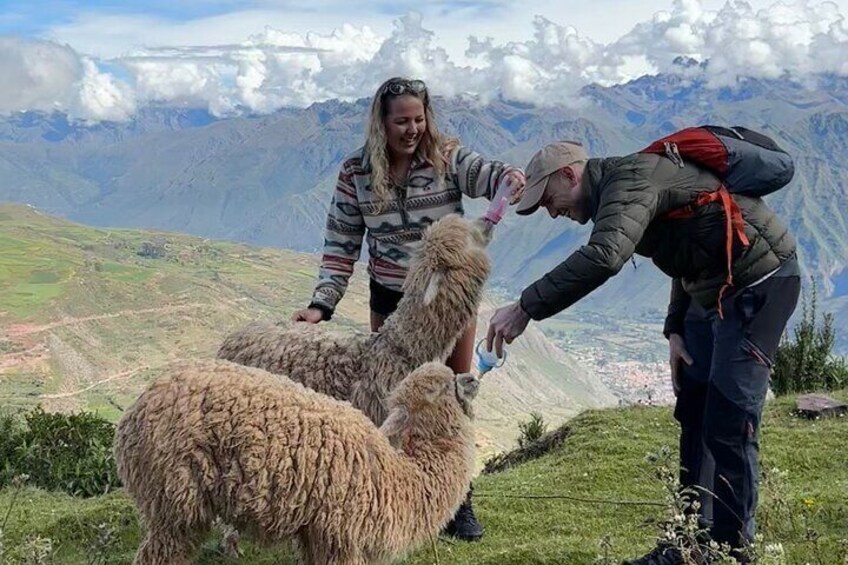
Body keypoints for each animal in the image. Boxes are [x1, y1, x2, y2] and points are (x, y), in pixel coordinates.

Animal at [114, 359, 479, 565]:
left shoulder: (315, 534)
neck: (398, 478)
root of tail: (136, 408)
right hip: (176, 499)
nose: (472, 378)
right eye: (438, 388)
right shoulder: (339, 536)